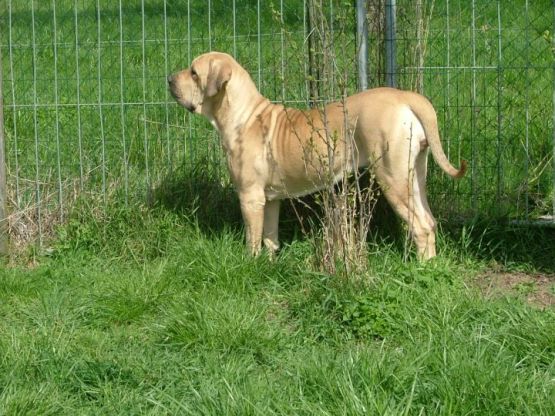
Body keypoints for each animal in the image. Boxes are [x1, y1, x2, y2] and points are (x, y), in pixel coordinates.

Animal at [167, 51, 466, 258]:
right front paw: (269, 264)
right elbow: (270, 237)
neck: (244, 115)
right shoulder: (270, 199)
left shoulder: (250, 197)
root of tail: (405, 97)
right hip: (414, 175)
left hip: (393, 178)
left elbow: (252, 239)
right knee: (429, 221)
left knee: (421, 226)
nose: (169, 79)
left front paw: (249, 264)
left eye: (194, 73)